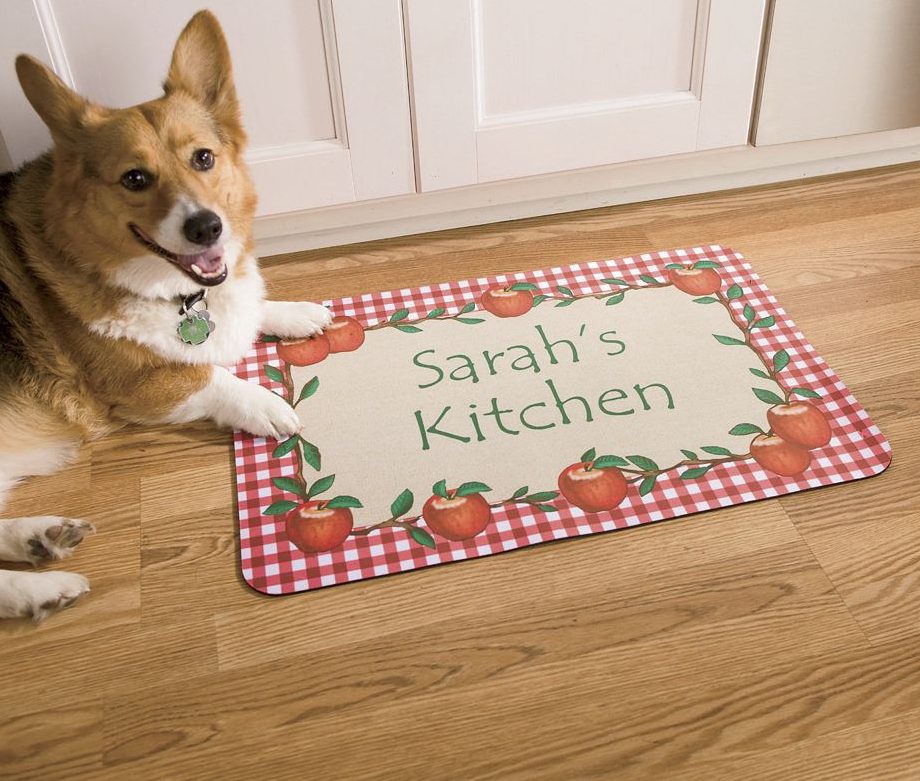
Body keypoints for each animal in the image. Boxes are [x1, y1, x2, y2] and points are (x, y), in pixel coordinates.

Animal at [0, 12, 330, 620]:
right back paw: (41, 587)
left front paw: (295, 314)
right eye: (135, 178)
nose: (207, 228)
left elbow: (249, 308)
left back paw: (40, 541)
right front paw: (267, 404)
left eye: (203, 158)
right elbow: (208, 374)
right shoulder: (134, 385)